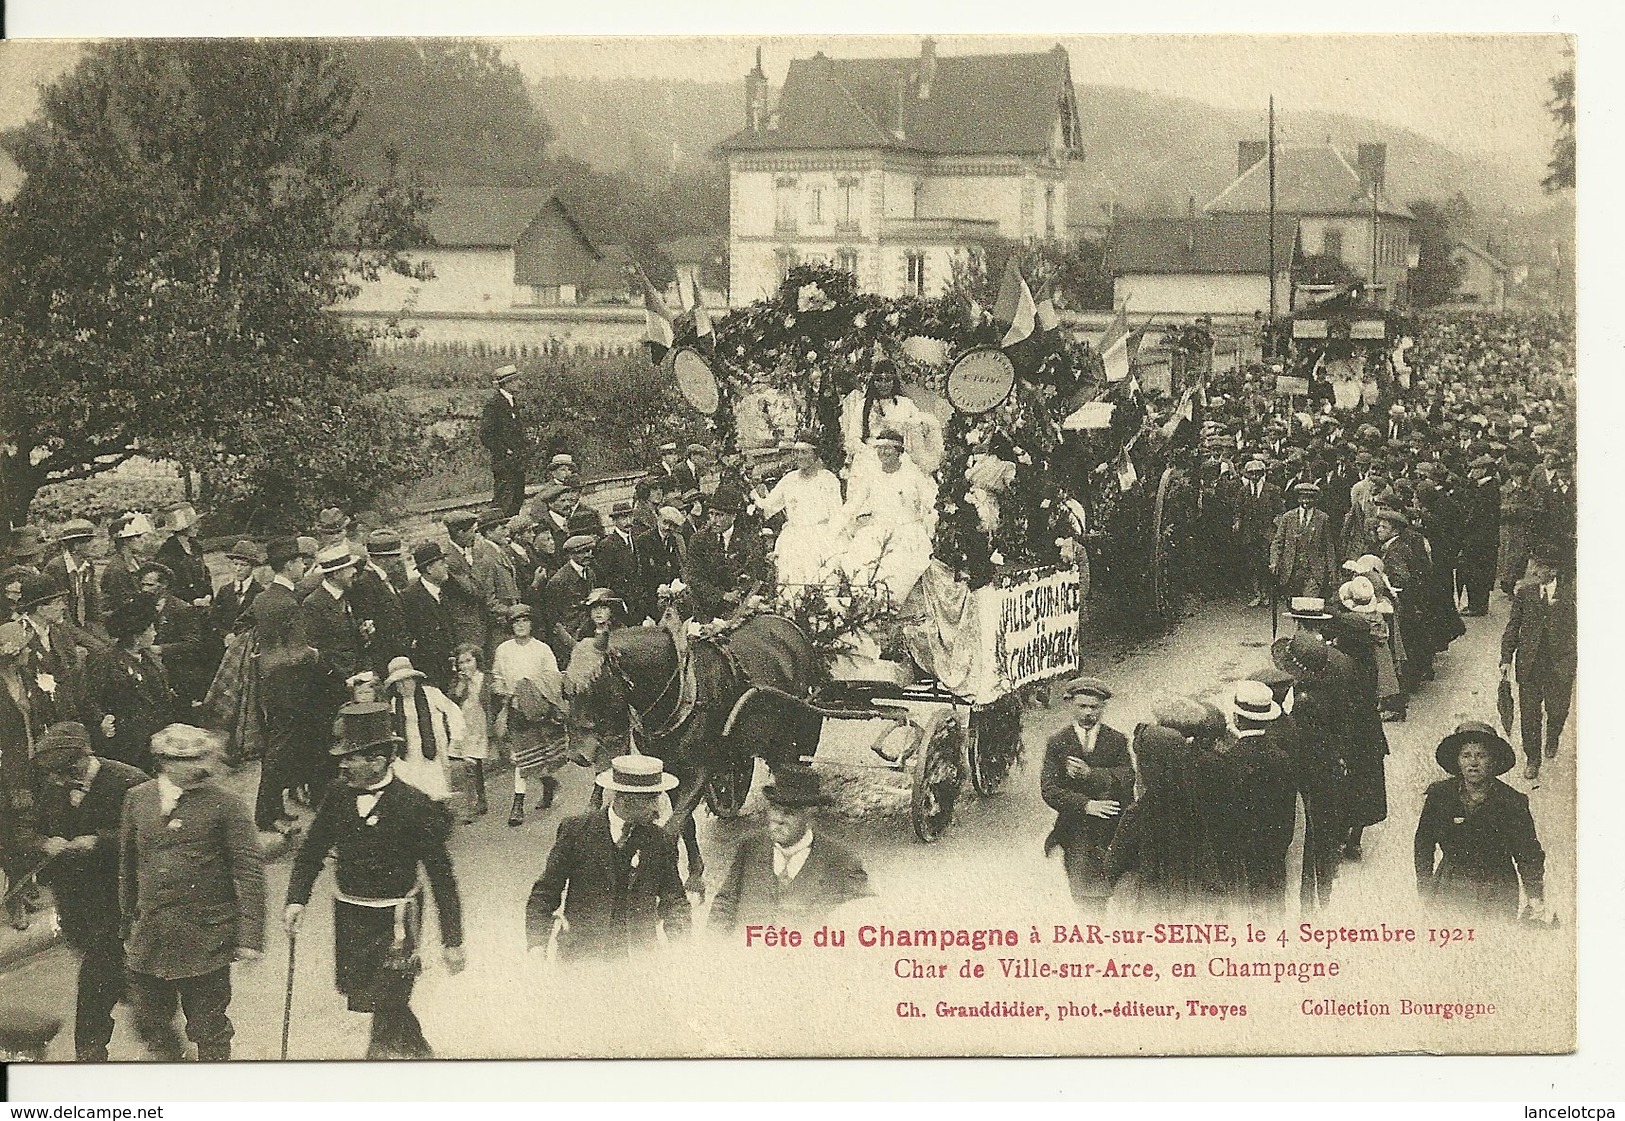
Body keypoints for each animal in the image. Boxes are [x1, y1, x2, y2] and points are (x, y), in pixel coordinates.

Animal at [568, 610, 825, 890]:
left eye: (595, 686)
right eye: (566, 690)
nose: (577, 754)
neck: (681, 686)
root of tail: (789, 626)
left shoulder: (700, 771)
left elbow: (674, 825)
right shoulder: (670, 769)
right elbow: (685, 825)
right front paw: (694, 871)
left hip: (804, 732)